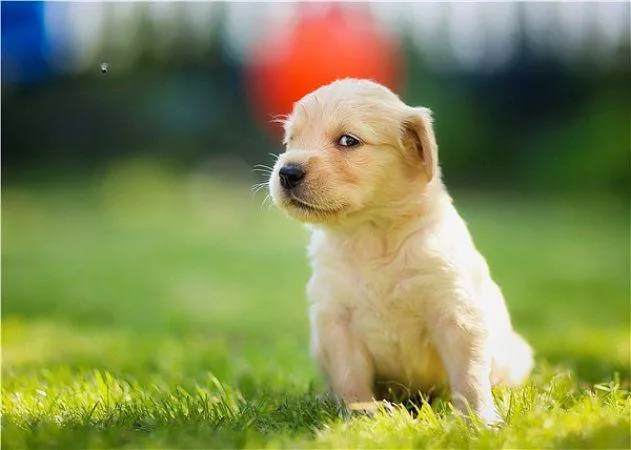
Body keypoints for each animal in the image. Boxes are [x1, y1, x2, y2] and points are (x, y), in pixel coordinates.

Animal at [266, 78, 532, 426]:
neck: (371, 235)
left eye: (348, 140)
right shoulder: (336, 319)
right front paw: (362, 414)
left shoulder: (455, 314)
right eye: (291, 140)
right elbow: (350, 376)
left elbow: (469, 376)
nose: (287, 172)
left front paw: (479, 420)